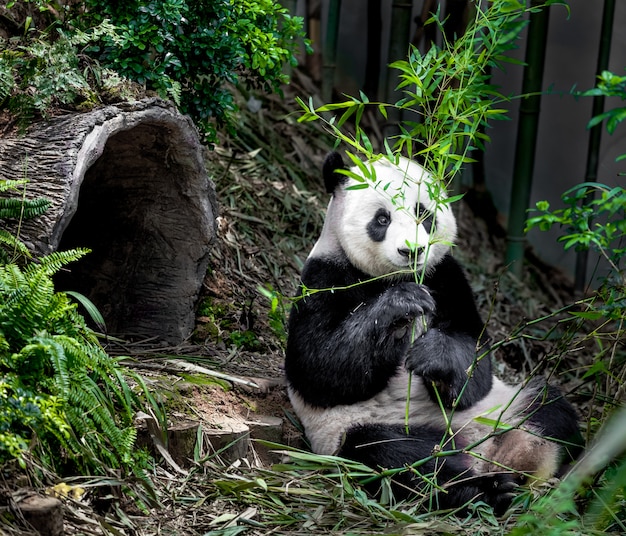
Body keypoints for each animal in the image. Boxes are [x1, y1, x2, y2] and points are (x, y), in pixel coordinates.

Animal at [282, 153, 580, 512]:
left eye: (424, 214)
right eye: (382, 219)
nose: (412, 251)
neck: (392, 277)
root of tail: (481, 451)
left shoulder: (446, 275)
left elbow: (474, 362)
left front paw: (433, 355)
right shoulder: (324, 277)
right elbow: (319, 369)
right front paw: (401, 305)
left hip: (504, 407)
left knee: (549, 409)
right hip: (359, 430)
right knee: (395, 456)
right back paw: (487, 489)